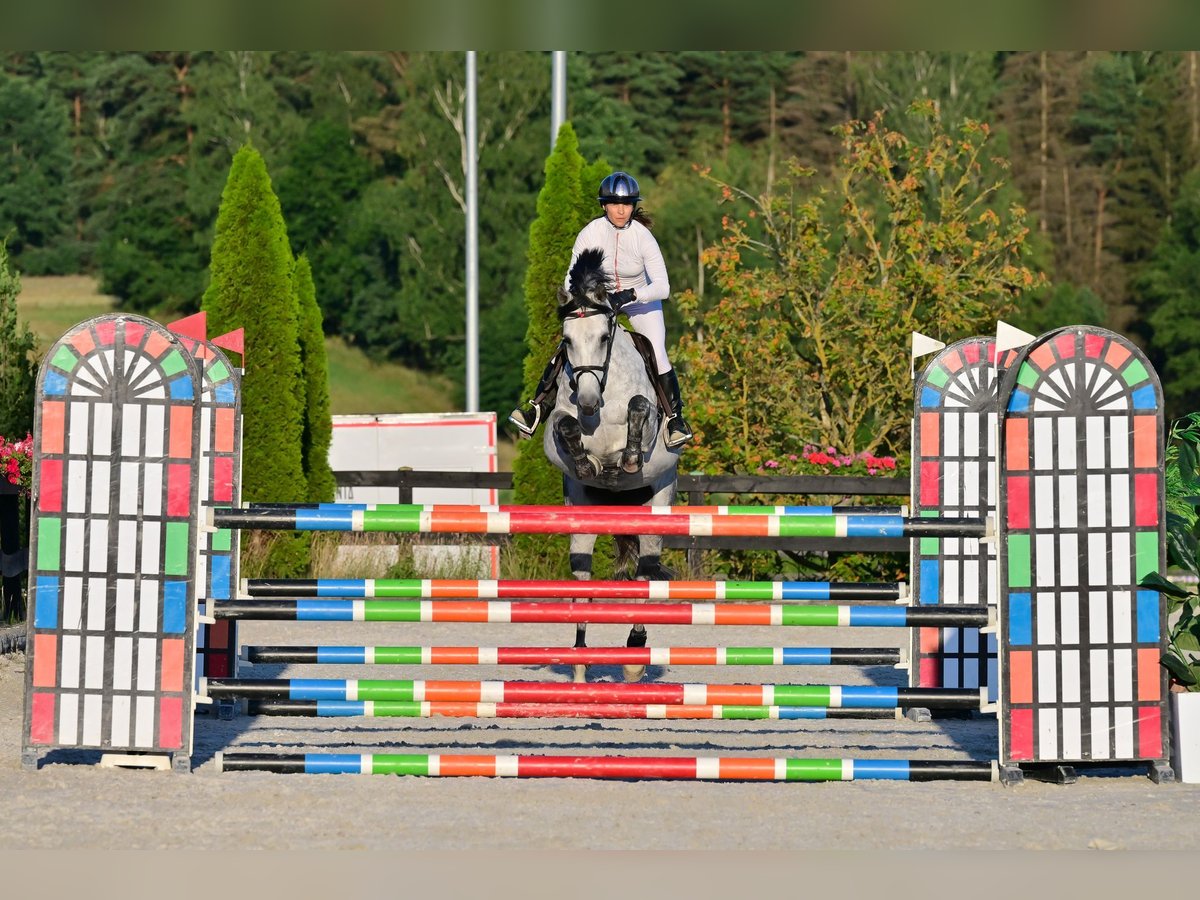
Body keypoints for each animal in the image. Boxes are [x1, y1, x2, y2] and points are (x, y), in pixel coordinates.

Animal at [542, 247, 681, 681]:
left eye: (604, 337)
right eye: (567, 341)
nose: (588, 401)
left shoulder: (649, 422)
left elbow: (639, 409)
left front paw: (629, 458)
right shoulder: (558, 428)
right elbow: (565, 426)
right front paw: (589, 464)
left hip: (655, 510)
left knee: (645, 576)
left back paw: (635, 657)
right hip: (583, 523)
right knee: (583, 582)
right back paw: (580, 662)